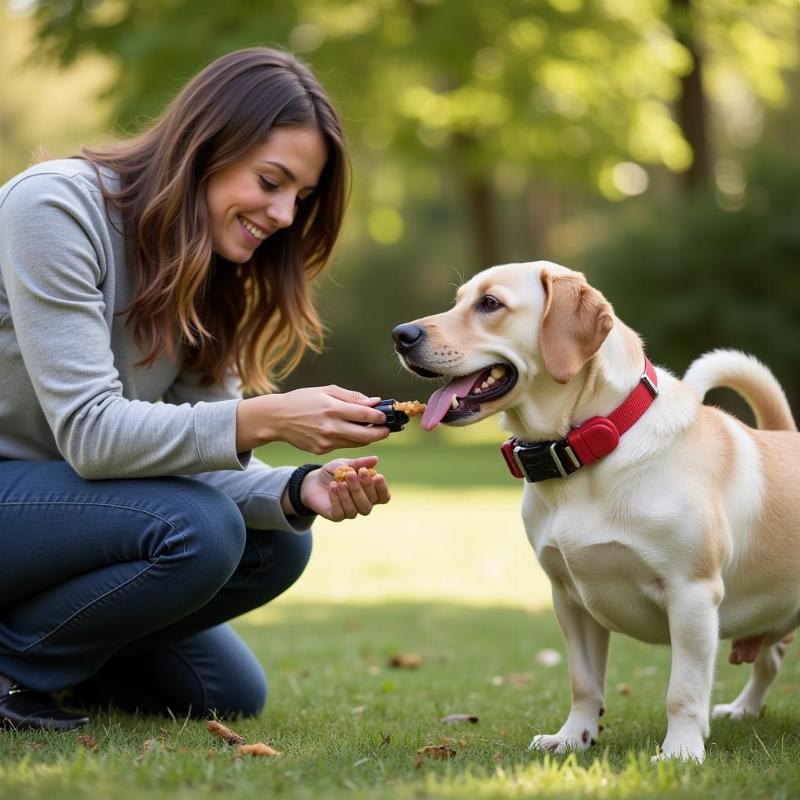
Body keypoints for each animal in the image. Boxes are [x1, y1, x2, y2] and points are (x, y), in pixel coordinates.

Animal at [390, 260, 796, 760]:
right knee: (770, 658)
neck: (589, 451)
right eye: (458, 300)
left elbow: (682, 691)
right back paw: (743, 709)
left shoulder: (692, 594)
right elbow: (583, 682)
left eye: (490, 304)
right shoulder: (569, 597)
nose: (400, 334)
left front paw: (680, 752)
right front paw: (573, 737)